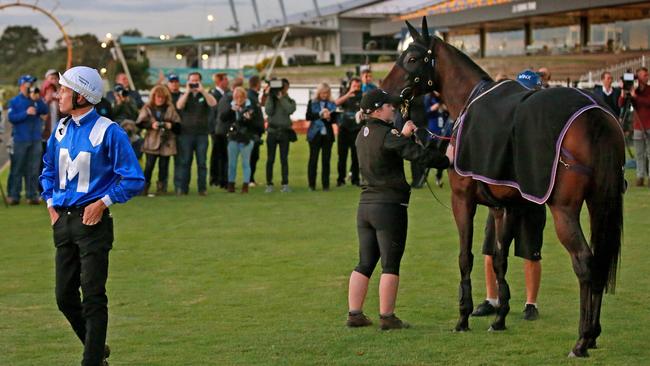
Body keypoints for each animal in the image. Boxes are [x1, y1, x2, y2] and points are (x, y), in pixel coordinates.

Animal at [380, 17, 624, 358]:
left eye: (413, 58)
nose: (383, 91)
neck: (468, 100)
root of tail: (596, 115)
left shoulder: (462, 200)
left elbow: (465, 256)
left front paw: (463, 317)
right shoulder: (504, 206)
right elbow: (498, 258)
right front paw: (499, 318)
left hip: (565, 211)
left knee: (585, 264)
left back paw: (582, 339)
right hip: (600, 202)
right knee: (599, 262)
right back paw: (593, 335)